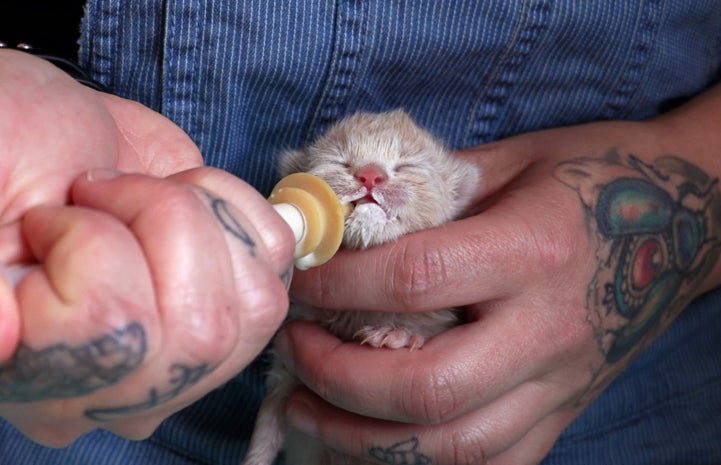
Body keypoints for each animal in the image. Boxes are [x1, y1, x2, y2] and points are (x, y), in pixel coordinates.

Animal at [245, 109, 480, 464]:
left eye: (408, 165)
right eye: (340, 161)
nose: (370, 175)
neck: (359, 313)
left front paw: (398, 335)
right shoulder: (284, 373)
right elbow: (266, 428)